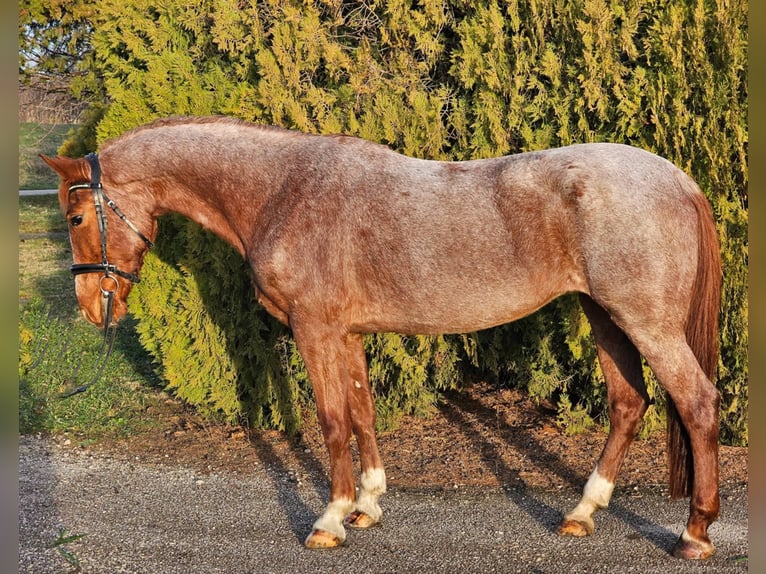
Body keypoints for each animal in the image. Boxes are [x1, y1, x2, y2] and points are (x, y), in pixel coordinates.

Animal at [42, 115, 722, 559]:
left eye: (75, 216)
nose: (90, 307)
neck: (283, 189)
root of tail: (679, 179)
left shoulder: (314, 330)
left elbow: (331, 421)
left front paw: (330, 520)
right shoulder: (347, 334)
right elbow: (362, 412)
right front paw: (367, 504)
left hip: (645, 321)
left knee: (697, 403)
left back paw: (694, 533)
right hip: (604, 315)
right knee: (628, 403)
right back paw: (581, 514)